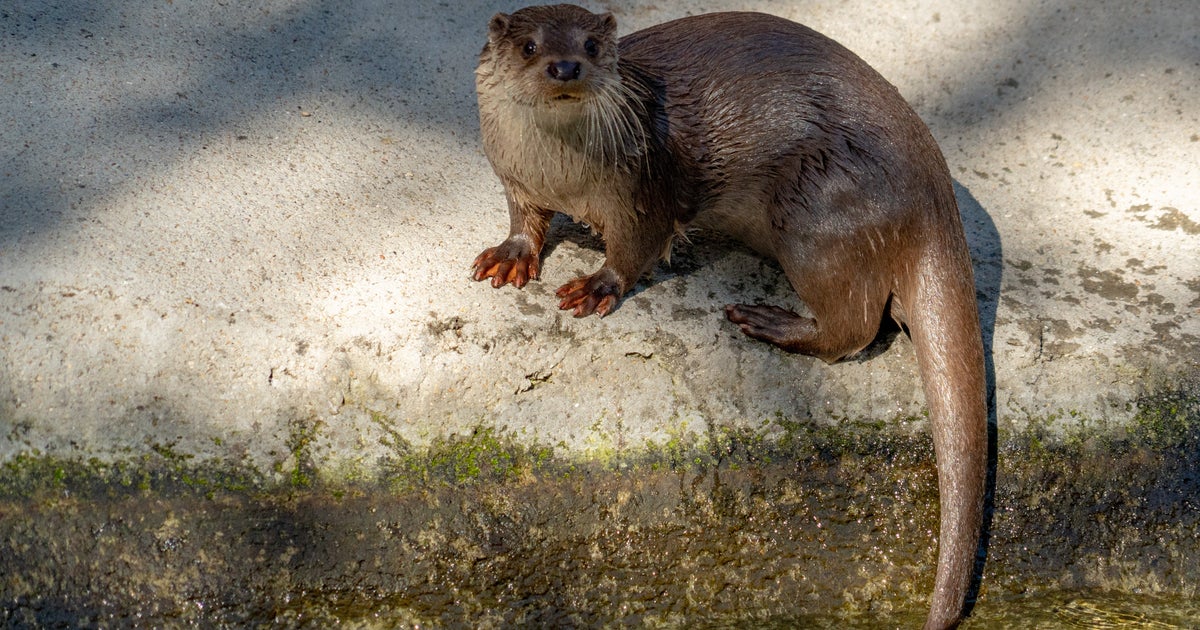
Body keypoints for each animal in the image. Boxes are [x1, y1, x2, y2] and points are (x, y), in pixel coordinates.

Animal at [468, 6, 984, 628]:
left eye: (591, 45)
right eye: (528, 46)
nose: (565, 66)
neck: (560, 175)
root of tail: (932, 195)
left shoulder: (639, 191)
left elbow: (635, 250)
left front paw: (596, 286)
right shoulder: (515, 178)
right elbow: (524, 219)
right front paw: (511, 253)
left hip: (815, 210)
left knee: (856, 326)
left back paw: (768, 322)